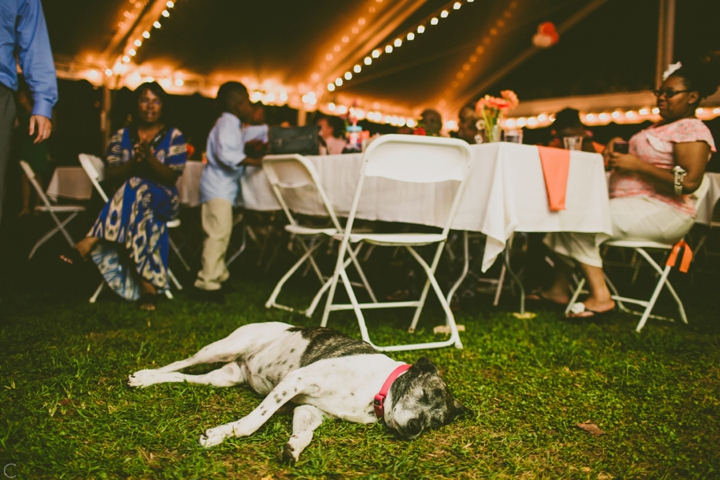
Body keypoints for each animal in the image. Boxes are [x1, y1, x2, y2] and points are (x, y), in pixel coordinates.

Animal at [127, 322, 470, 462]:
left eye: (433, 424)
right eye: (423, 395)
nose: (414, 428)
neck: (375, 391)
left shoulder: (308, 409)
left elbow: (303, 434)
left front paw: (293, 448)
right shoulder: (296, 380)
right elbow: (253, 422)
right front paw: (220, 435)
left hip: (222, 378)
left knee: (184, 377)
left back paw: (150, 380)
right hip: (221, 348)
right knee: (181, 362)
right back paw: (143, 376)